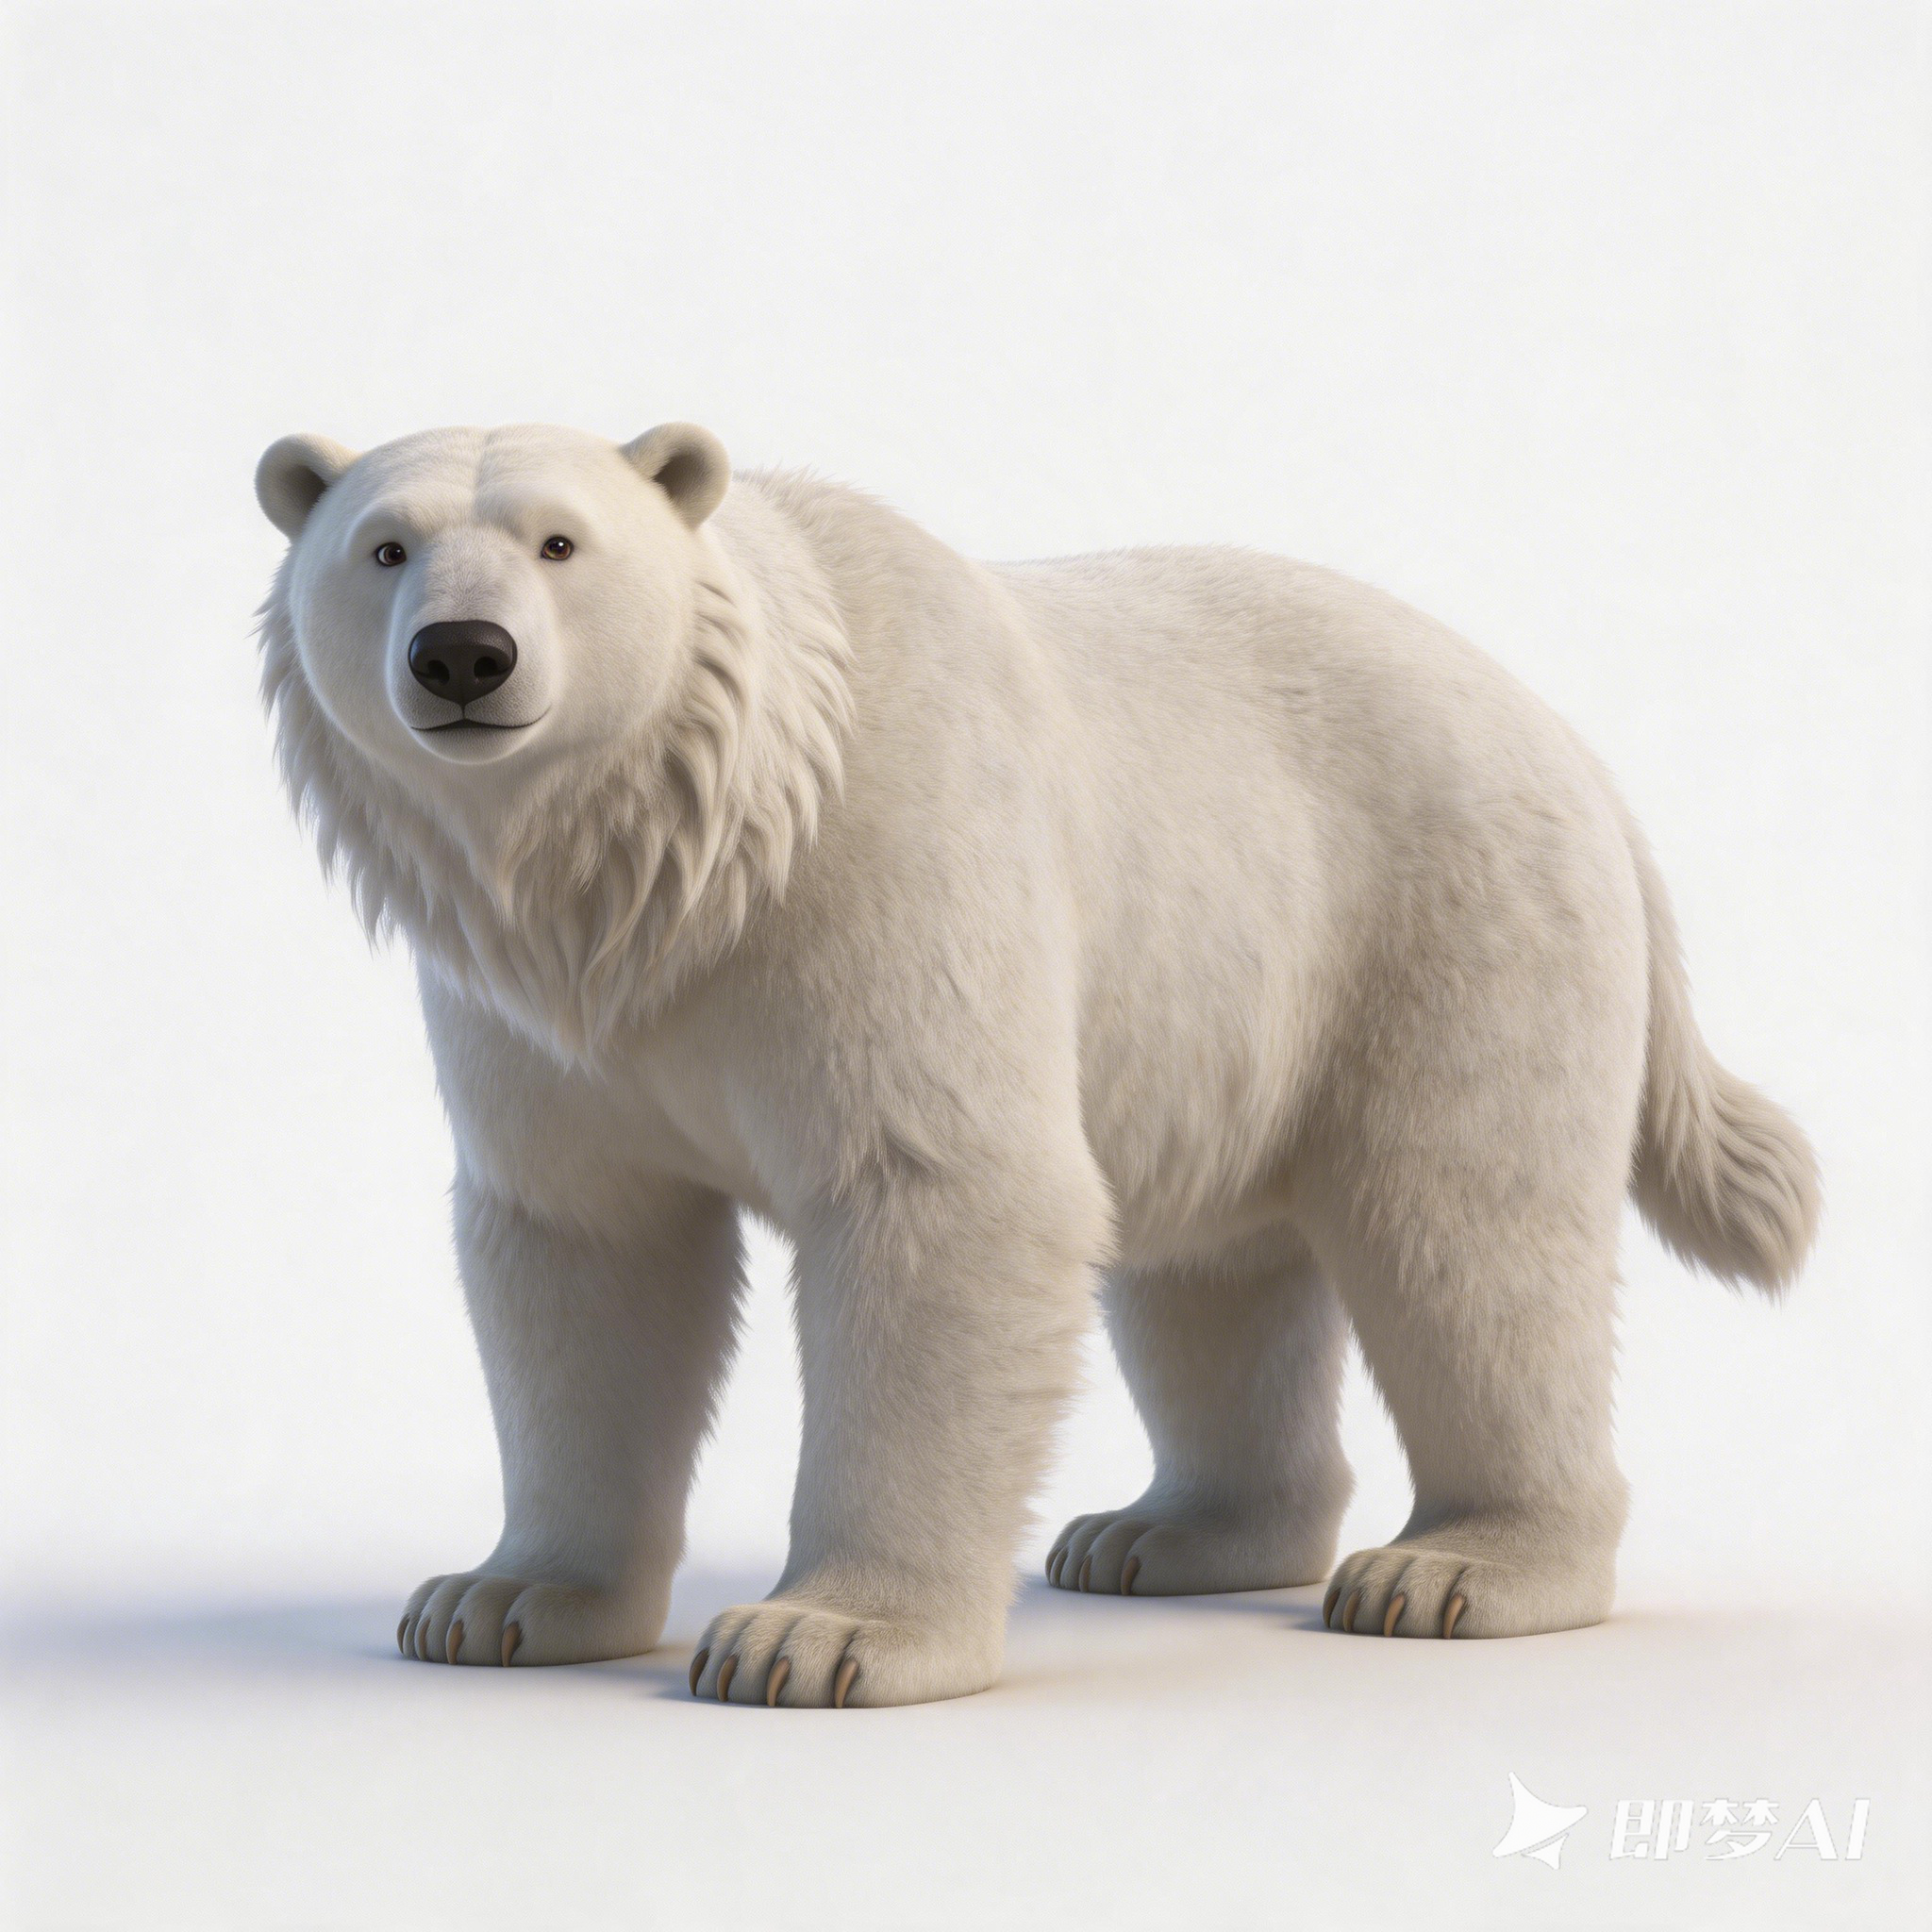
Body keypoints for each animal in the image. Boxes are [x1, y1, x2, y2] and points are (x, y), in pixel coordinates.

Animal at [255, 421, 1818, 1707]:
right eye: (383, 546)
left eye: (560, 542)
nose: (464, 654)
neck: (688, 858)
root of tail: (1582, 758)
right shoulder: (546, 1022)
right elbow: (585, 1246)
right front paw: (498, 1600)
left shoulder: (892, 870)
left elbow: (944, 1197)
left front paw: (818, 1637)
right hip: (1231, 1002)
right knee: (1214, 1279)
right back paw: (1160, 1532)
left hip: (1448, 916)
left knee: (1465, 1235)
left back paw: (1457, 1568)